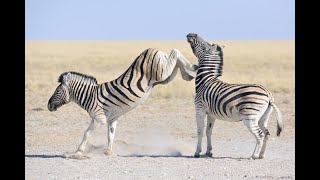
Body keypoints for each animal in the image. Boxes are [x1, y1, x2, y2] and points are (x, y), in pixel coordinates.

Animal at [47, 47, 198, 159]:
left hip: (161, 73)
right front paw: (109, 152)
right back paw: (189, 73)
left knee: (175, 52)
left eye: (57, 91)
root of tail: (152, 49)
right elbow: (111, 135)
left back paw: (191, 67)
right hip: (164, 77)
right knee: (175, 61)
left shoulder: (99, 118)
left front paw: (77, 152)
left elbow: (87, 134)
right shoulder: (111, 119)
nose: (48, 106)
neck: (90, 96)